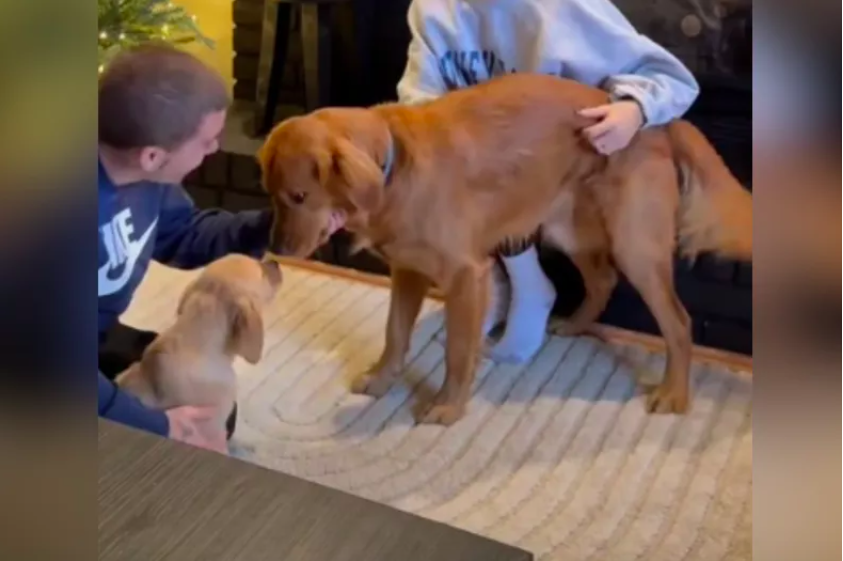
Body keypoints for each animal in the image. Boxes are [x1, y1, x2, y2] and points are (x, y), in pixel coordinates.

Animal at [258, 71, 752, 424]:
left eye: (299, 196)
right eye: (271, 193)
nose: (275, 246)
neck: (394, 167)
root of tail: (660, 126)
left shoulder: (464, 275)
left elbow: (459, 350)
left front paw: (448, 408)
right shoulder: (408, 270)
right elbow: (394, 333)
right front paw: (381, 380)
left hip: (635, 246)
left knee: (679, 322)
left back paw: (674, 395)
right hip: (564, 226)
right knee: (601, 279)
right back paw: (574, 325)